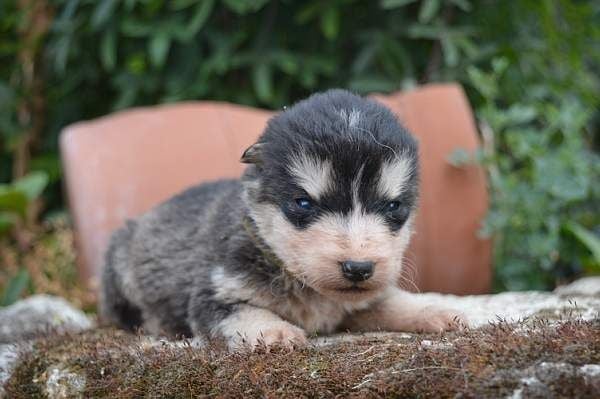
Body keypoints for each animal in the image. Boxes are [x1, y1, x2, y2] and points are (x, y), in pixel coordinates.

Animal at [101, 89, 466, 348]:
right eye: (303, 203)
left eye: (393, 206)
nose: (358, 268)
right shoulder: (214, 294)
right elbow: (246, 312)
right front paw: (274, 332)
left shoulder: (363, 302)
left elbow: (395, 301)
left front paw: (435, 310)